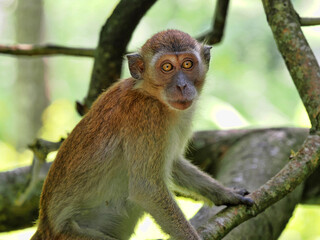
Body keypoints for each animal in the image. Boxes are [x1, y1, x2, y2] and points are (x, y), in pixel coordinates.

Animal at [31, 30, 254, 240]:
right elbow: (148, 190)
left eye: (188, 64)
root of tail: (45, 227)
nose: (182, 86)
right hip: (72, 235)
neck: (150, 94)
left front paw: (227, 194)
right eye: (167, 67)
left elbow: (173, 163)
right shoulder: (148, 116)